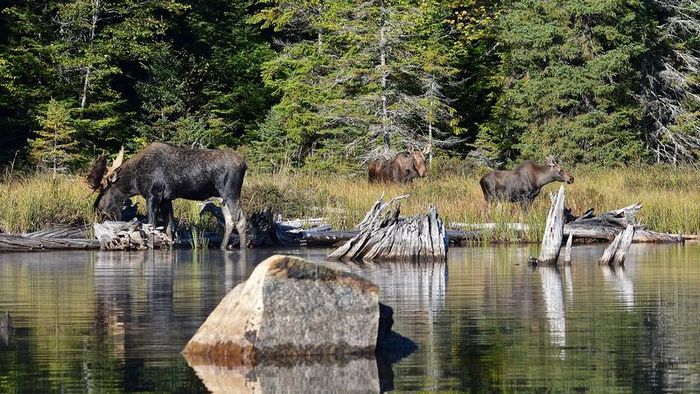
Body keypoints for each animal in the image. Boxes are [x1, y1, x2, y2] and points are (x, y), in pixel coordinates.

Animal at [87, 142, 247, 249]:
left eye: (104, 189)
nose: (96, 208)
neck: (134, 181)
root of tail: (245, 165)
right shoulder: (166, 199)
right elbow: (168, 228)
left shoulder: (153, 195)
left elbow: (151, 226)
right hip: (222, 198)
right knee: (229, 220)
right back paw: (223, 246)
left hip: (231, 193)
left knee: (240, 220)